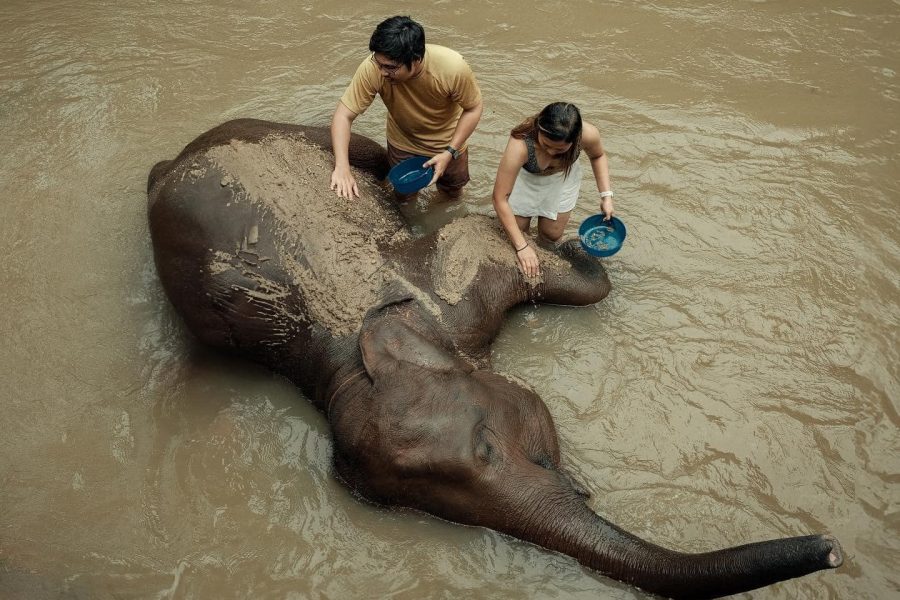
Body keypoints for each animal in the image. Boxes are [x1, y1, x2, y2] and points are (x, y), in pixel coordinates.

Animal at [146, 118, 843, 599]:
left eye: (486, 446)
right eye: (401, 503)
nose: (833, 549)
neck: (354, 344)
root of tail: (172, 159)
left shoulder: (454, 287)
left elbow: (499, 241)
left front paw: (580, 250)